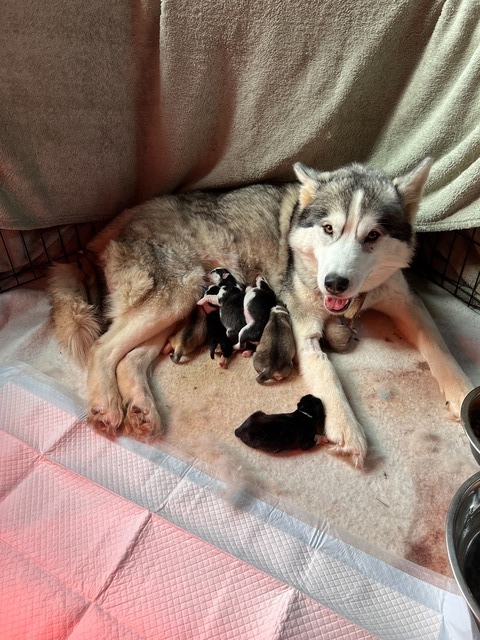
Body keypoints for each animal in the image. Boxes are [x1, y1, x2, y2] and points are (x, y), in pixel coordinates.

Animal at [48, 158, 472, 468]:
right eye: (328, 229)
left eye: (372, 236)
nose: (334, 283)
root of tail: (109, 226)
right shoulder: (303, 327)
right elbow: (329, 378)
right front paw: (348, 428)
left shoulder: (405, 301)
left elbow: (440, 346)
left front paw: (463, 393)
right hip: (176, 294)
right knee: (103, 349)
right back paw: (107, 404)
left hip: (178, 306)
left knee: (130, 359)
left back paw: (141, 408)